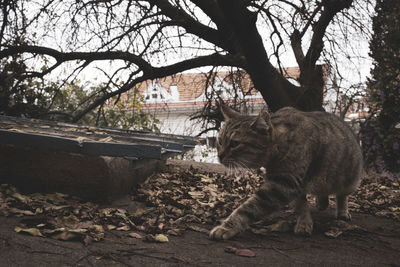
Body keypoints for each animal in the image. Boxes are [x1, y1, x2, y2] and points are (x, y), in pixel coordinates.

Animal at [211, 105, 364, 241]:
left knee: (342, 195)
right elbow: (301, 205)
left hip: (349, 180)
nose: (219, 155)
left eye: (234, 144)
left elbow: (249, 208)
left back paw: (342, 211)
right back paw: (321, 202)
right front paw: (304, 222)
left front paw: (227, 227)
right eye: (220, 141)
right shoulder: (293, 185)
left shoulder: (283, 184)